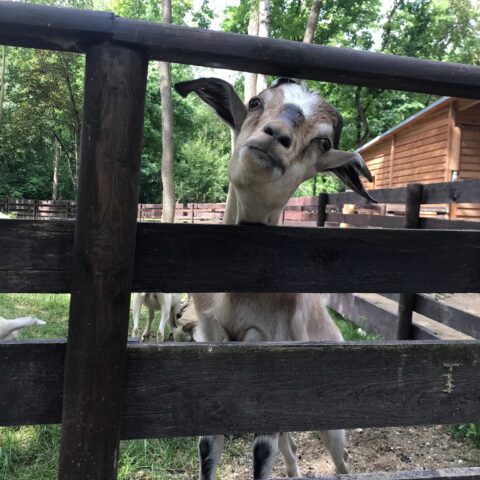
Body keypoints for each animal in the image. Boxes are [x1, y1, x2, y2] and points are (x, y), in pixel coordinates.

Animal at [174, 78, 374, 480]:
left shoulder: (269, 353)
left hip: (328, 419)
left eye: (323, 142)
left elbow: (261, 455)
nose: (276, 135)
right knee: (291, 449)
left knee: (341, 461)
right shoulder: (212, 343)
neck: (237, 300)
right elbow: (208, 448)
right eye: (255, 102)